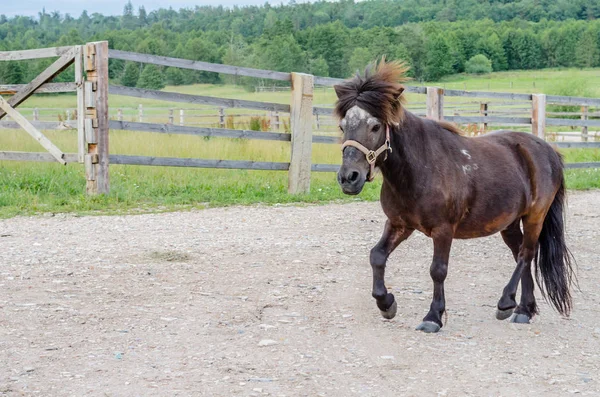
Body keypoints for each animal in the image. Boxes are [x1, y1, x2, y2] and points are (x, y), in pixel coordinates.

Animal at [336, 58, 576, 332]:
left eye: (375, 126)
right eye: (342, 126)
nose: (348, 177)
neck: (420, 168)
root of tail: (549, 151)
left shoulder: (443, 229)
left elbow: (438, 270)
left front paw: (433, 317)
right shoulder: (399, 224)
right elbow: (377, 256)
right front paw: (386, 304)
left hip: (536, 215)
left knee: (527, 254)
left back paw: (506, 303)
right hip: (510, 223)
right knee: (521, 254)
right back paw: (524, 309)